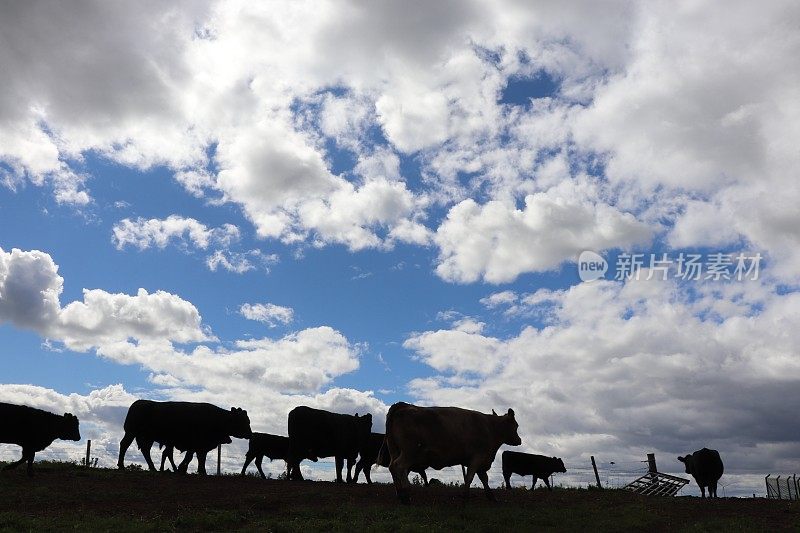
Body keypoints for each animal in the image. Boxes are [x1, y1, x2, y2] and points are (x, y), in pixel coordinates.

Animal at [116, 400, 250, 474]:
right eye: (243, 421)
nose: (249, 434)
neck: (220, 419)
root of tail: (137, 403)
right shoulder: (196, 444)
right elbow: (193, 458)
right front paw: (185, 469)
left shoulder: (200, 446)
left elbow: (199, 458)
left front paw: (200, 471)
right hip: (131, 433)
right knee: (124, 445)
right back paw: (121, 466)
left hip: (148, 438)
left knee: (146, 450)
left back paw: (153, 468)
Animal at [384, 402, 520, 500]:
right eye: (516, 426)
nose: (519, 440)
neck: (491, 427)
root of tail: (403, 405)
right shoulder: (477, 458)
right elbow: (470, 477)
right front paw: (465, 495)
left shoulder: (481, 461)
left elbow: (484, 479)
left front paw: (491, 496)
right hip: (409, 452)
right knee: (399, 466)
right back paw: (406, 494)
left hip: (395, 450)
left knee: (392, 467)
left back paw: (399, 493)